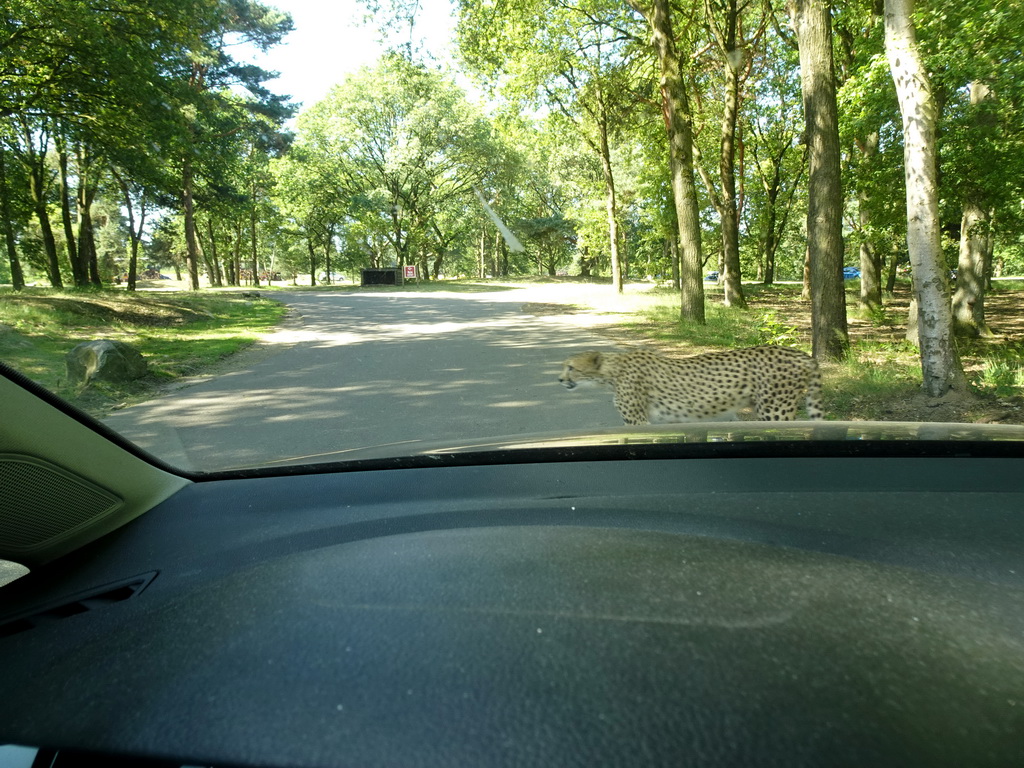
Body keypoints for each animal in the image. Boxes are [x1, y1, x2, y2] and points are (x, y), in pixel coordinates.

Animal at [561, 348, 823, 428]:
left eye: (570, 367)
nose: (559, 380)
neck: (612, 372)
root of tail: (802, 353)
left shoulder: (637, 421)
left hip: (775, 411)